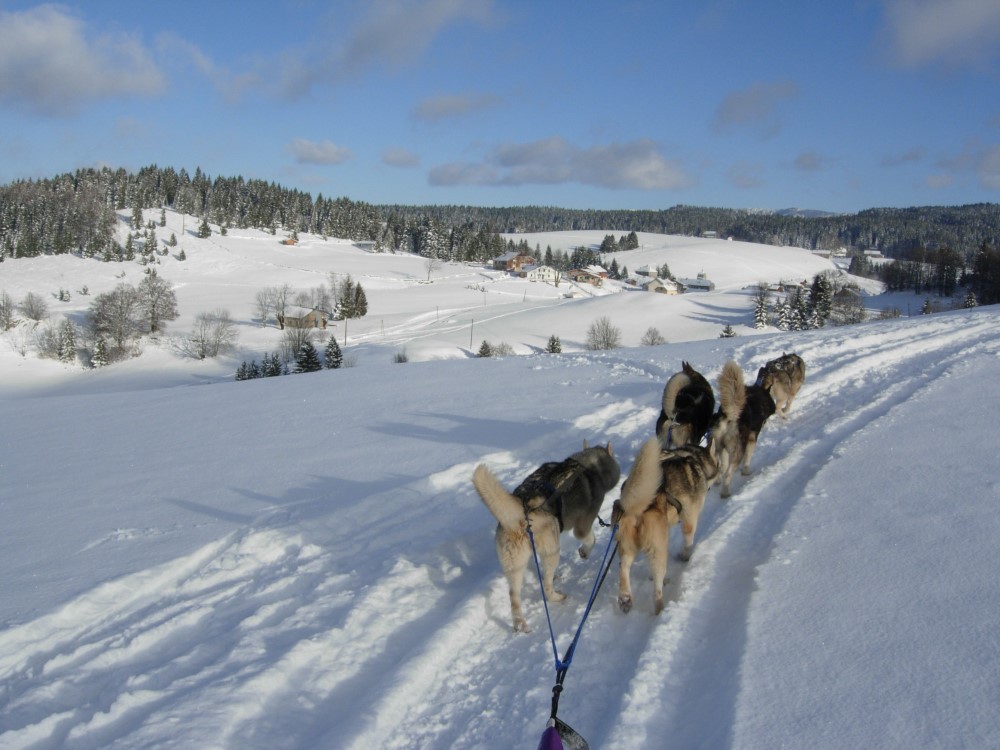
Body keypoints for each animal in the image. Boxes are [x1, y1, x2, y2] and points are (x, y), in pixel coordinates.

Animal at [468, 440, 616, 636]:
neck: (588, 465)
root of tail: (521, 511)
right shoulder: (582, 526)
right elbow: (590, 539)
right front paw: (584, 552)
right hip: (552, 550)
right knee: (546, 587)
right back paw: (556, 595)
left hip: (515, 566)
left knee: (514, 596)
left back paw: (520, 623)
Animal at [612, 440, 716, 616]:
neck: (692, 456)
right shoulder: (689, 519)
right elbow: (688, 539)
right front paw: (685, 556)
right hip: (658, 551)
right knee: (656, 591)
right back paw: (660, 608)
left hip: (627, 545)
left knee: (624, 566)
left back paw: (625, 597)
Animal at [708, 360, 776, 496]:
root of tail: (728, 417)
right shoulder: (752, 438)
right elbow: (747, 458)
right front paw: (746, 472)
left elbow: (722, 466)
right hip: (737, 451)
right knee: (728, 474)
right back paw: (725, 492)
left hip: (717, 447)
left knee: (720, 468)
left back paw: (717, 481)